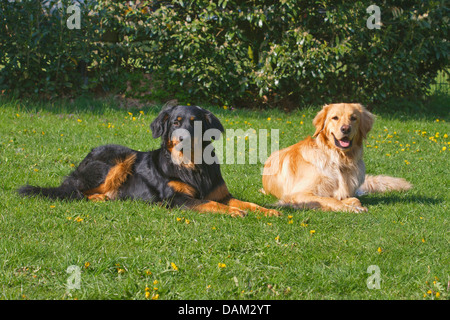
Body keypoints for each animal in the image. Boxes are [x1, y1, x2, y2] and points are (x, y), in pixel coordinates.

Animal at [18, 105, 282, 218]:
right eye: (175, 122)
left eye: (195, 122)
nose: (182, 138)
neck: (192, 166)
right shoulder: (176, 199)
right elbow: (212, 204)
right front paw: (235, 212)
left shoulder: (221, 194)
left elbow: (246, 203)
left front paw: (267, 211)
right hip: (118, 157)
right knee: (74, 192)